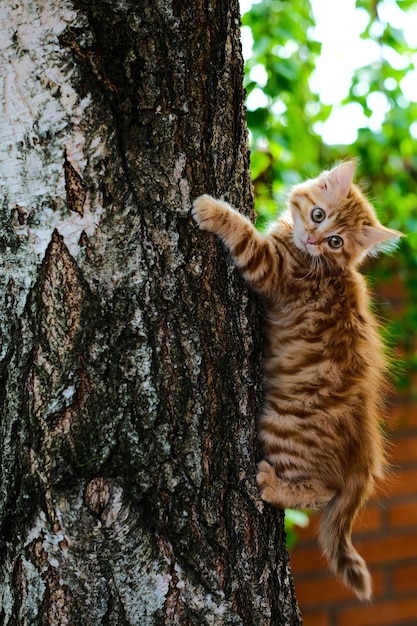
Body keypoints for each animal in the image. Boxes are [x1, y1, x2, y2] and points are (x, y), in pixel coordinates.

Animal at [191, 161, 400, 600]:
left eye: (336, 242)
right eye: (319, 215)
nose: (314, 238)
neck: (319, 263)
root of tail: (364, 450)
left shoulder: (270, 269)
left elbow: (243, 234)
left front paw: (212, 210)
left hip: (283, 425)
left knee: (322, 490)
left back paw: (272, 485)